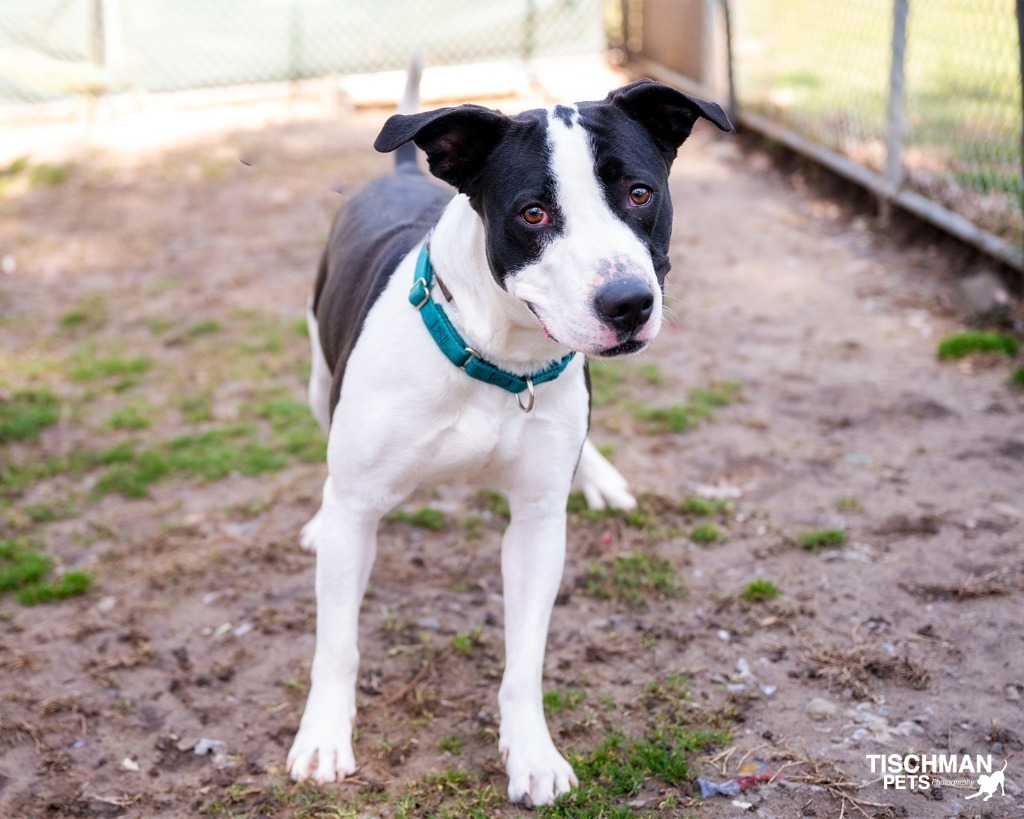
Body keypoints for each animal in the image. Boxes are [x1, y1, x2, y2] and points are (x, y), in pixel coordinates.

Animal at [288, 63, 733, 806]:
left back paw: (602, 476)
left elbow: (525, 658)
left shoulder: (536, 522)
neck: (497, 358)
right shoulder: (359, 507)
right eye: (533, 214)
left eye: (639, 193)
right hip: (322, 377)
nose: (628, 303)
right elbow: (336, 644)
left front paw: (532, 754)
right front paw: (323, 737)